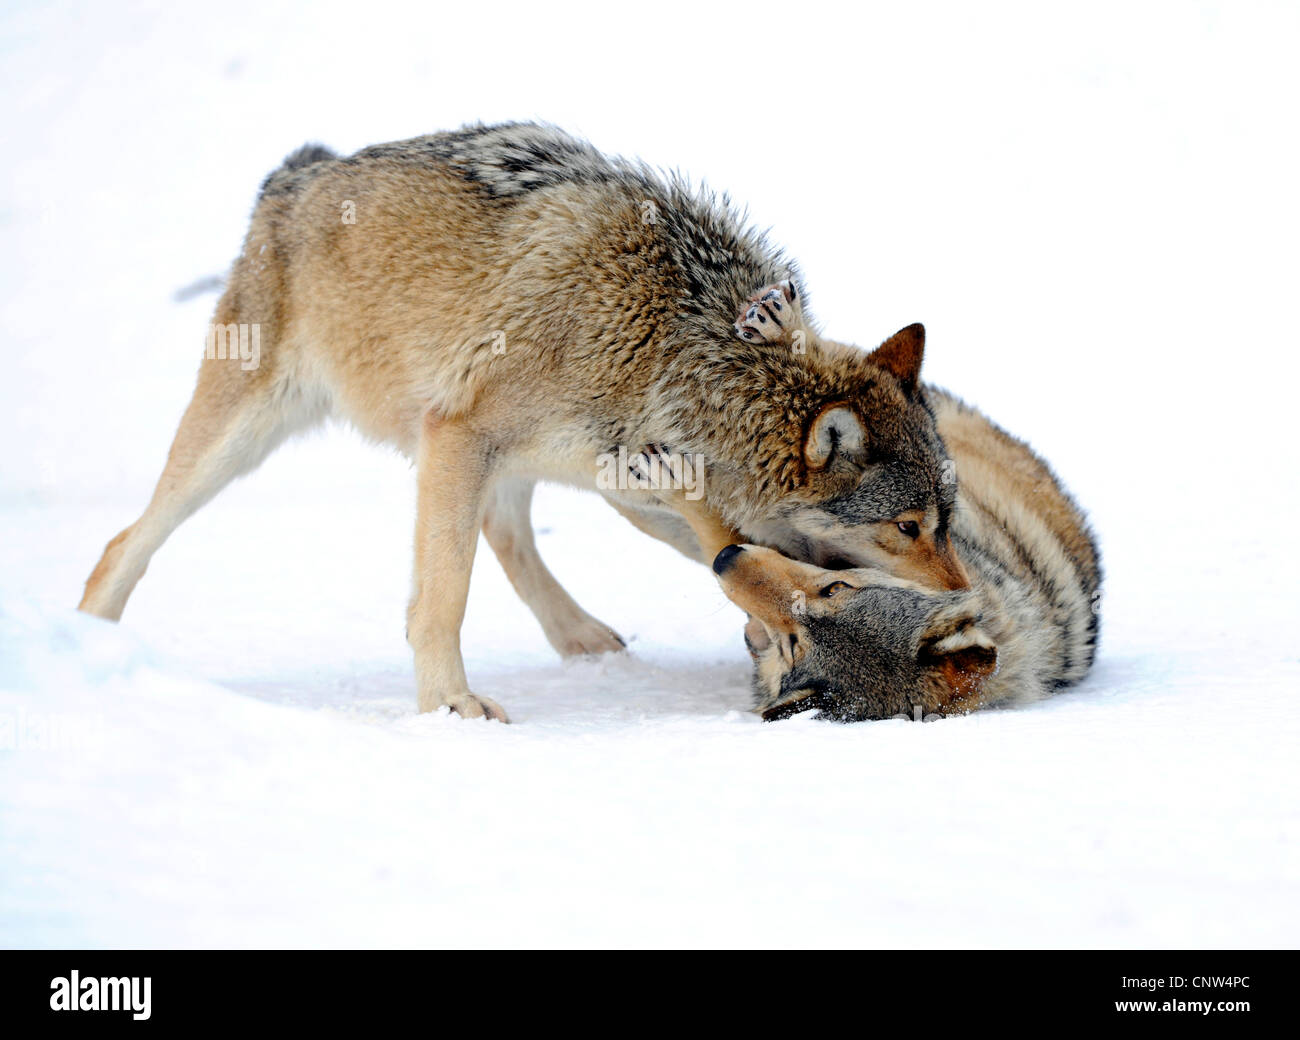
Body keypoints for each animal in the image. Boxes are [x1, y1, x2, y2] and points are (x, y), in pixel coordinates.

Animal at [78, 124, 967, 722]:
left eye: (948, 522)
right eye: (906, 527)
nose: (966, 595)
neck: (671, 344)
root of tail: (296, 176)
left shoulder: (635, 484)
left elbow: (736, 558)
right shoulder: (460, 434)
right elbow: (442, 598)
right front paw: (450, 707)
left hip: (548, 475)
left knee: (508, 531)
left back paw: (580, 637)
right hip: (242, 437)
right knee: (124, 543)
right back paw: (88, 644)